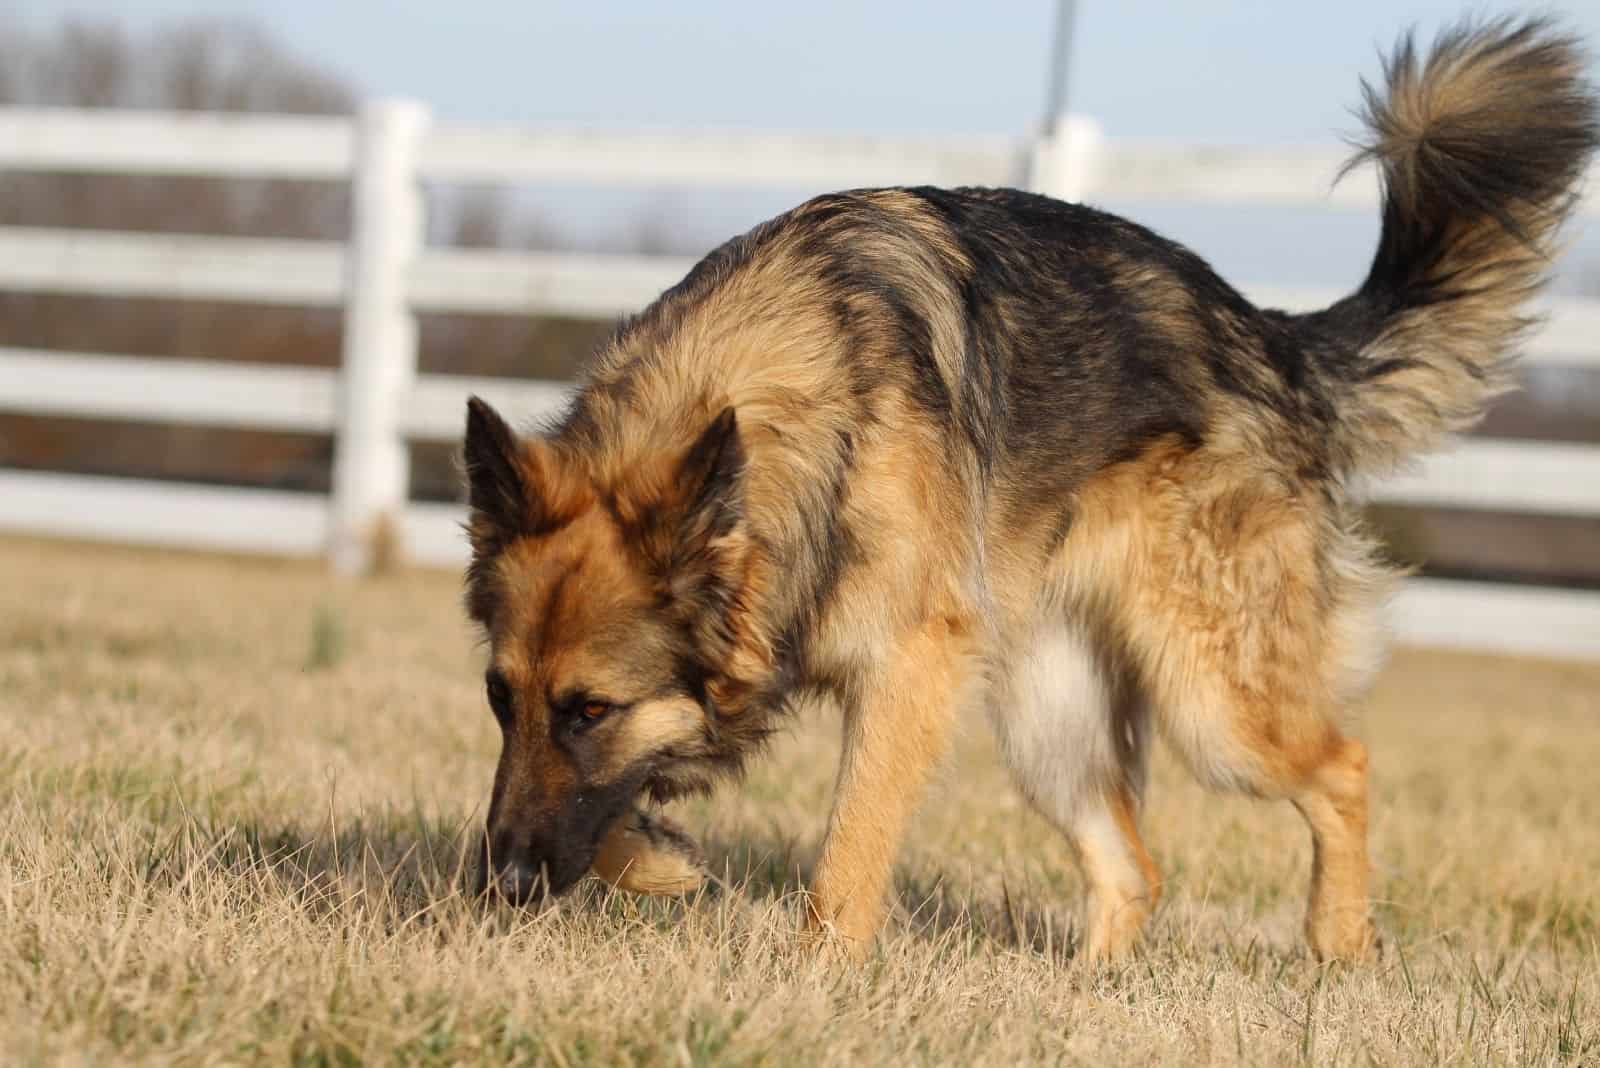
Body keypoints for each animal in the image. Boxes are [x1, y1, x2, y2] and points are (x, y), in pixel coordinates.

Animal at [467, 20, 1600, 965]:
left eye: (590, 709)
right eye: (499, 696)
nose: (502, 885)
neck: (775, 410)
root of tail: (1271, 339)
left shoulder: (907, 675)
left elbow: (846, 860)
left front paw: (814, 978)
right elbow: (622, 814)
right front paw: (660, 862)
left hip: (1213, 704)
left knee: (1343, 767)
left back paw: (1337, 943)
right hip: (1048, 720)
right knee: (1134, 871)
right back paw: (1091, 996)